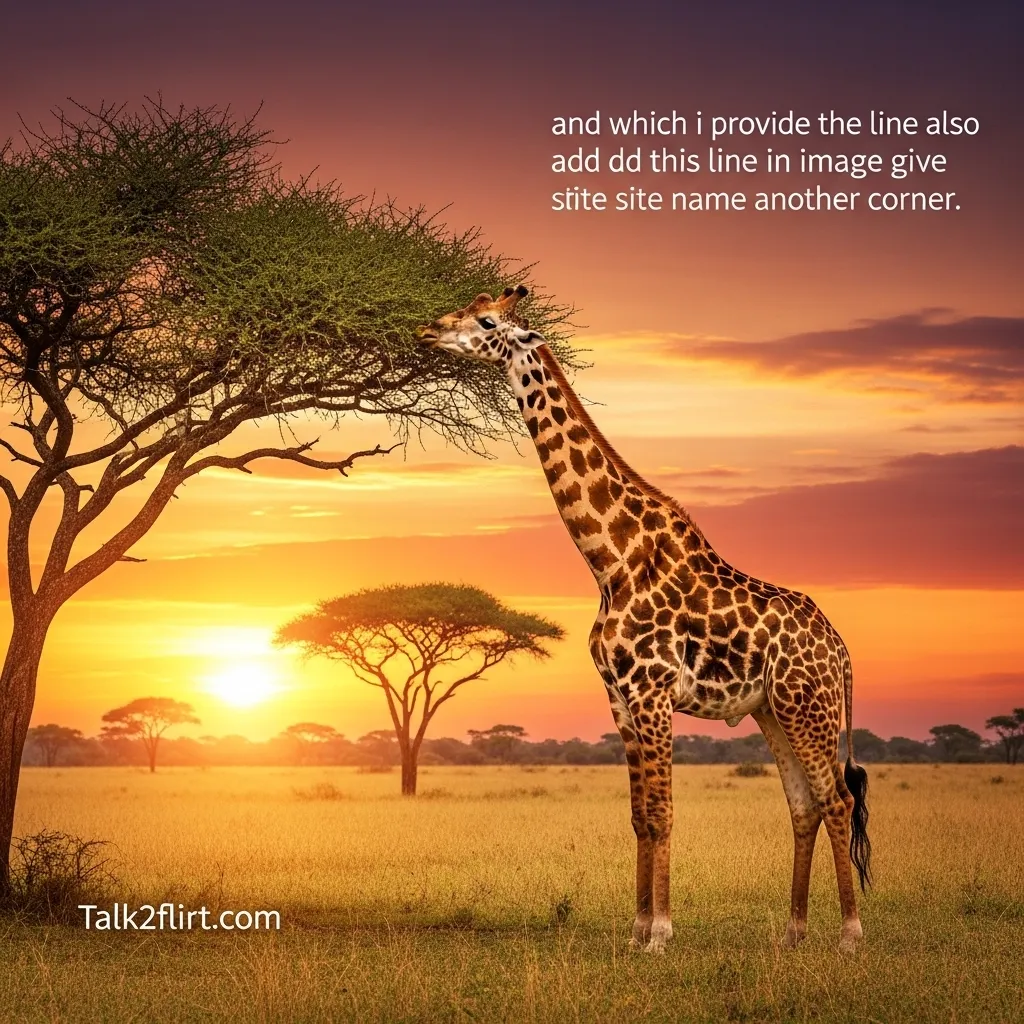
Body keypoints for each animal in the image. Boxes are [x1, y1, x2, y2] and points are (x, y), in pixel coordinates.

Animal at [417, 286, 872, 953]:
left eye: (487, 320)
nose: (427, 331)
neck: (611, 560)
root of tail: (840, 651)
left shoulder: (653, 691)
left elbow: (662, 813)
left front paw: (660, 932)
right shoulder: (618, 695)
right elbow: (638, 817)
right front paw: (635, 933)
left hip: (807, 707)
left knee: (835, 799)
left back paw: (849, 936)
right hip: (773, 710)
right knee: (804, 804)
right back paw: (792, 934)